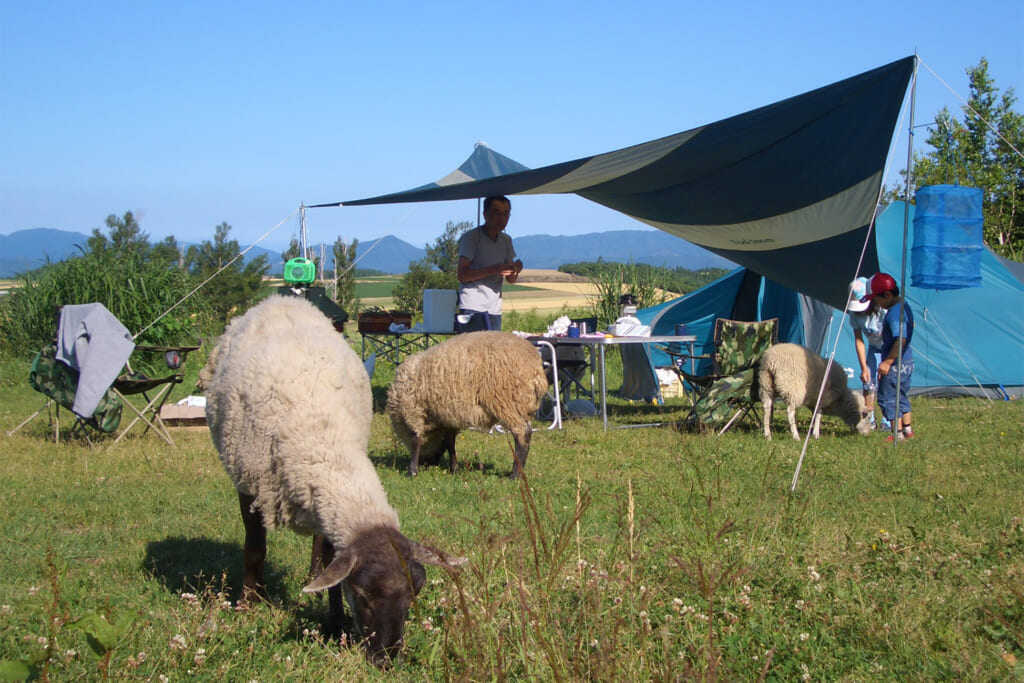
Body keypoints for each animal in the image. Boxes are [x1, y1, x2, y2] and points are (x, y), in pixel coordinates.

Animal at [203, 294, 468, 667]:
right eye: (361, 592)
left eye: (415, 591)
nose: (387, 660)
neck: (322, 437)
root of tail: (280, 298)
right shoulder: (249, 485)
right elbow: (254, 548)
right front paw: (250, 602)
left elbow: (331, 562)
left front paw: (334, 622)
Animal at [385, 329, 548, 479]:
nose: (427, 463)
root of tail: (536, 369)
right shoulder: (448, 416)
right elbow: (450, 442)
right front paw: (454, 469)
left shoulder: (414, 411)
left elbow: (416, 440)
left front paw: (412, 471)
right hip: (522, 406)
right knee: (527, 433)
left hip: (509, 403)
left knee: (522, 435)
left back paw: (515, 475)